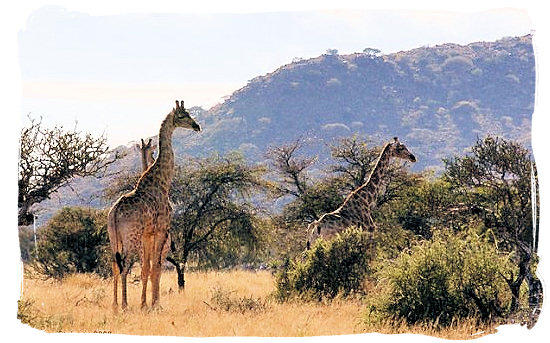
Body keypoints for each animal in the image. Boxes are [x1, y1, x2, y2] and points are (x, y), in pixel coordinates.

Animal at [109, 100, 202, 312]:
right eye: (183, 115)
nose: (197, 126)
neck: (163, 181)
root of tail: (115, 212)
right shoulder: (161, 230)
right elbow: (156, 268)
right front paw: (155, 304)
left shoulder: (148, 234)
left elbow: (147, 269)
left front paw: (146, 304)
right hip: (131, 237)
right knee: (124, 266)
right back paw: (125, 305)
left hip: (114, 238)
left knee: (115, 267)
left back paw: (115, 305)